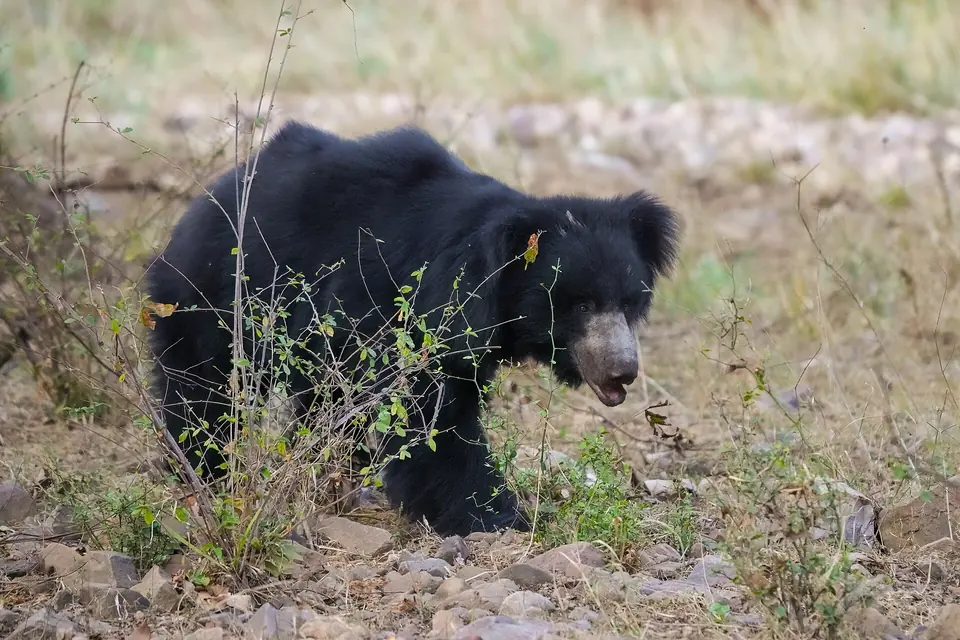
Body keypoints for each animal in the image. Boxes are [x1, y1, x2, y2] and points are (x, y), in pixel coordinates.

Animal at [144, 120, 681, 537]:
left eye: (629, 302)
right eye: (580, 304)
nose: (623, 370)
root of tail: (201, 204)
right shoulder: (398, 309)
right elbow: (429, 416)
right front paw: (496, 516)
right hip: (214, 295)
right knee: (205, 387)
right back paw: (206, 468)